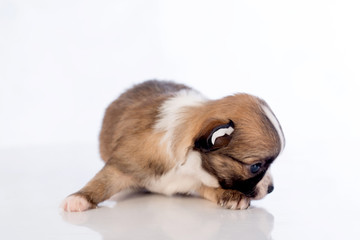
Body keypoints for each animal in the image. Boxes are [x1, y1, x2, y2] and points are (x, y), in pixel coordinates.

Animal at [63, 80, 286, 212]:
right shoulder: (125, 163)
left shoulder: (196, 180)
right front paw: (79, 198)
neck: (190, 166)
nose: (272, 189)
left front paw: (230, 195)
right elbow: (103, 181)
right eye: (255, 166)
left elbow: (209, 187)